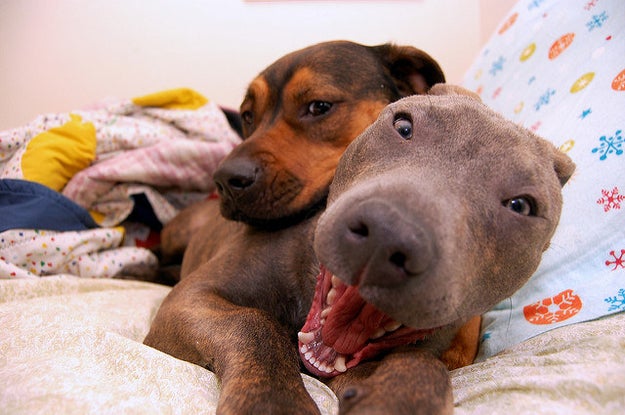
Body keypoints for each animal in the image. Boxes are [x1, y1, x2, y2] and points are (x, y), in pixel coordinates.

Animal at [146, 83, 576, 412]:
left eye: (521, 205)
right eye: (403, 125)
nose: (387, 235)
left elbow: (422, 365)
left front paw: (399, 399)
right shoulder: (191, 300)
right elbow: (253, 324)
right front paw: (273, 403)